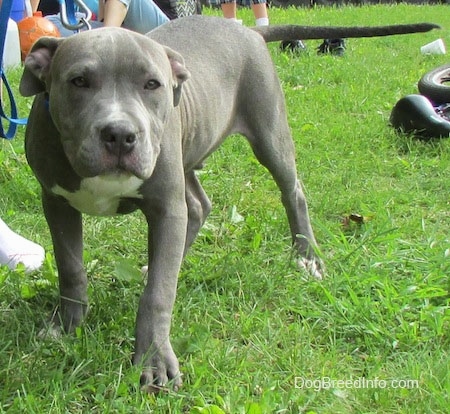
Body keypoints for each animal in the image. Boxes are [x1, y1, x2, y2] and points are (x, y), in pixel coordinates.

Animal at [20, 17, 440, 392]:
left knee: (291, 191)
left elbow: (158, 293)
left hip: (269, 132)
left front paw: (154, 360)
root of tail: (248, 30)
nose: (121, 134)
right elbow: (71, 268)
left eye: (152, 84)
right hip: (190, 152)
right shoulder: (55, 201)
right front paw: (66, 326)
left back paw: (306, 256)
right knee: (198, 206)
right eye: (78, 81)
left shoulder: (165, 206)